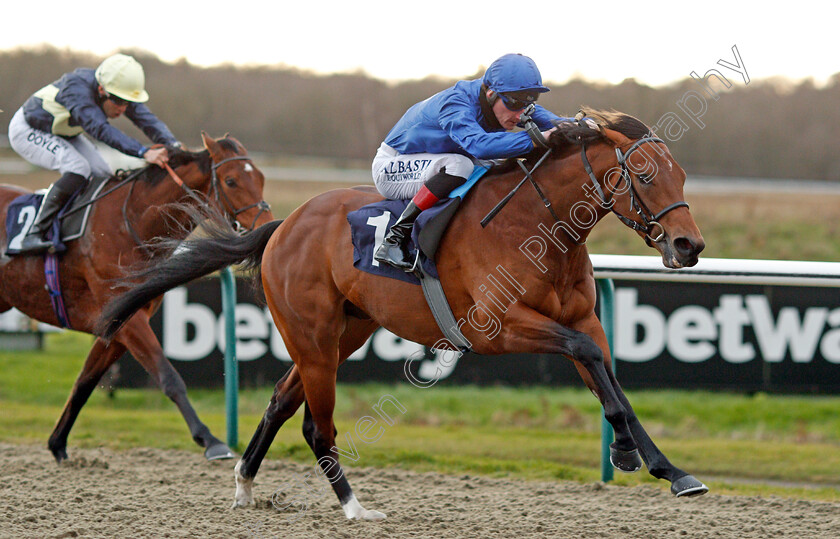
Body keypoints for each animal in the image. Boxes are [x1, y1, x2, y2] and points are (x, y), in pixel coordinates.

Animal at [0, 134, 274, 464]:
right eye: (231, 180)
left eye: (260, 177)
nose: (268, 223)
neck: (131, 223)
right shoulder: (130, 323)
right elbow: (168, 377)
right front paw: (211, 441)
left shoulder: (119, 323)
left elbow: (84, 381)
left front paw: (58, 443)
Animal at [97, 109, 708, 520]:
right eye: (645, 176)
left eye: (681, 175)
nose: (689, 246)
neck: (538, 225)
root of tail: (283, 225)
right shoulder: (499, 327)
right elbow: (590, 361)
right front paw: (625, 451)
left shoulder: (583, 320)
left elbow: (609, 379)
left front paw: (669, 469)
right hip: (313, 336)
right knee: (316, 424)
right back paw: (354, 507)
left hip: (343, 332)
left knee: (279, 400)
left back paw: (246, 484)